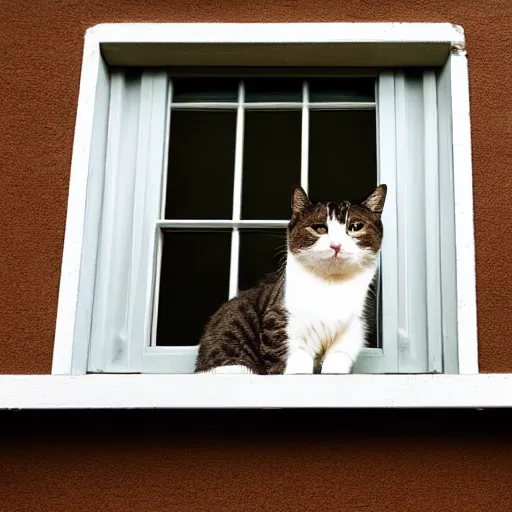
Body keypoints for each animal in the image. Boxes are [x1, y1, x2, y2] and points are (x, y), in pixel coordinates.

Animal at [194, 182, 386, 374]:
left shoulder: (352, 329)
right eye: (319, 228)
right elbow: (294, 363)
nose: (336, 245)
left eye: (355, 227)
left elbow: (337, 359)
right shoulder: (280, 321)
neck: (330, 283)